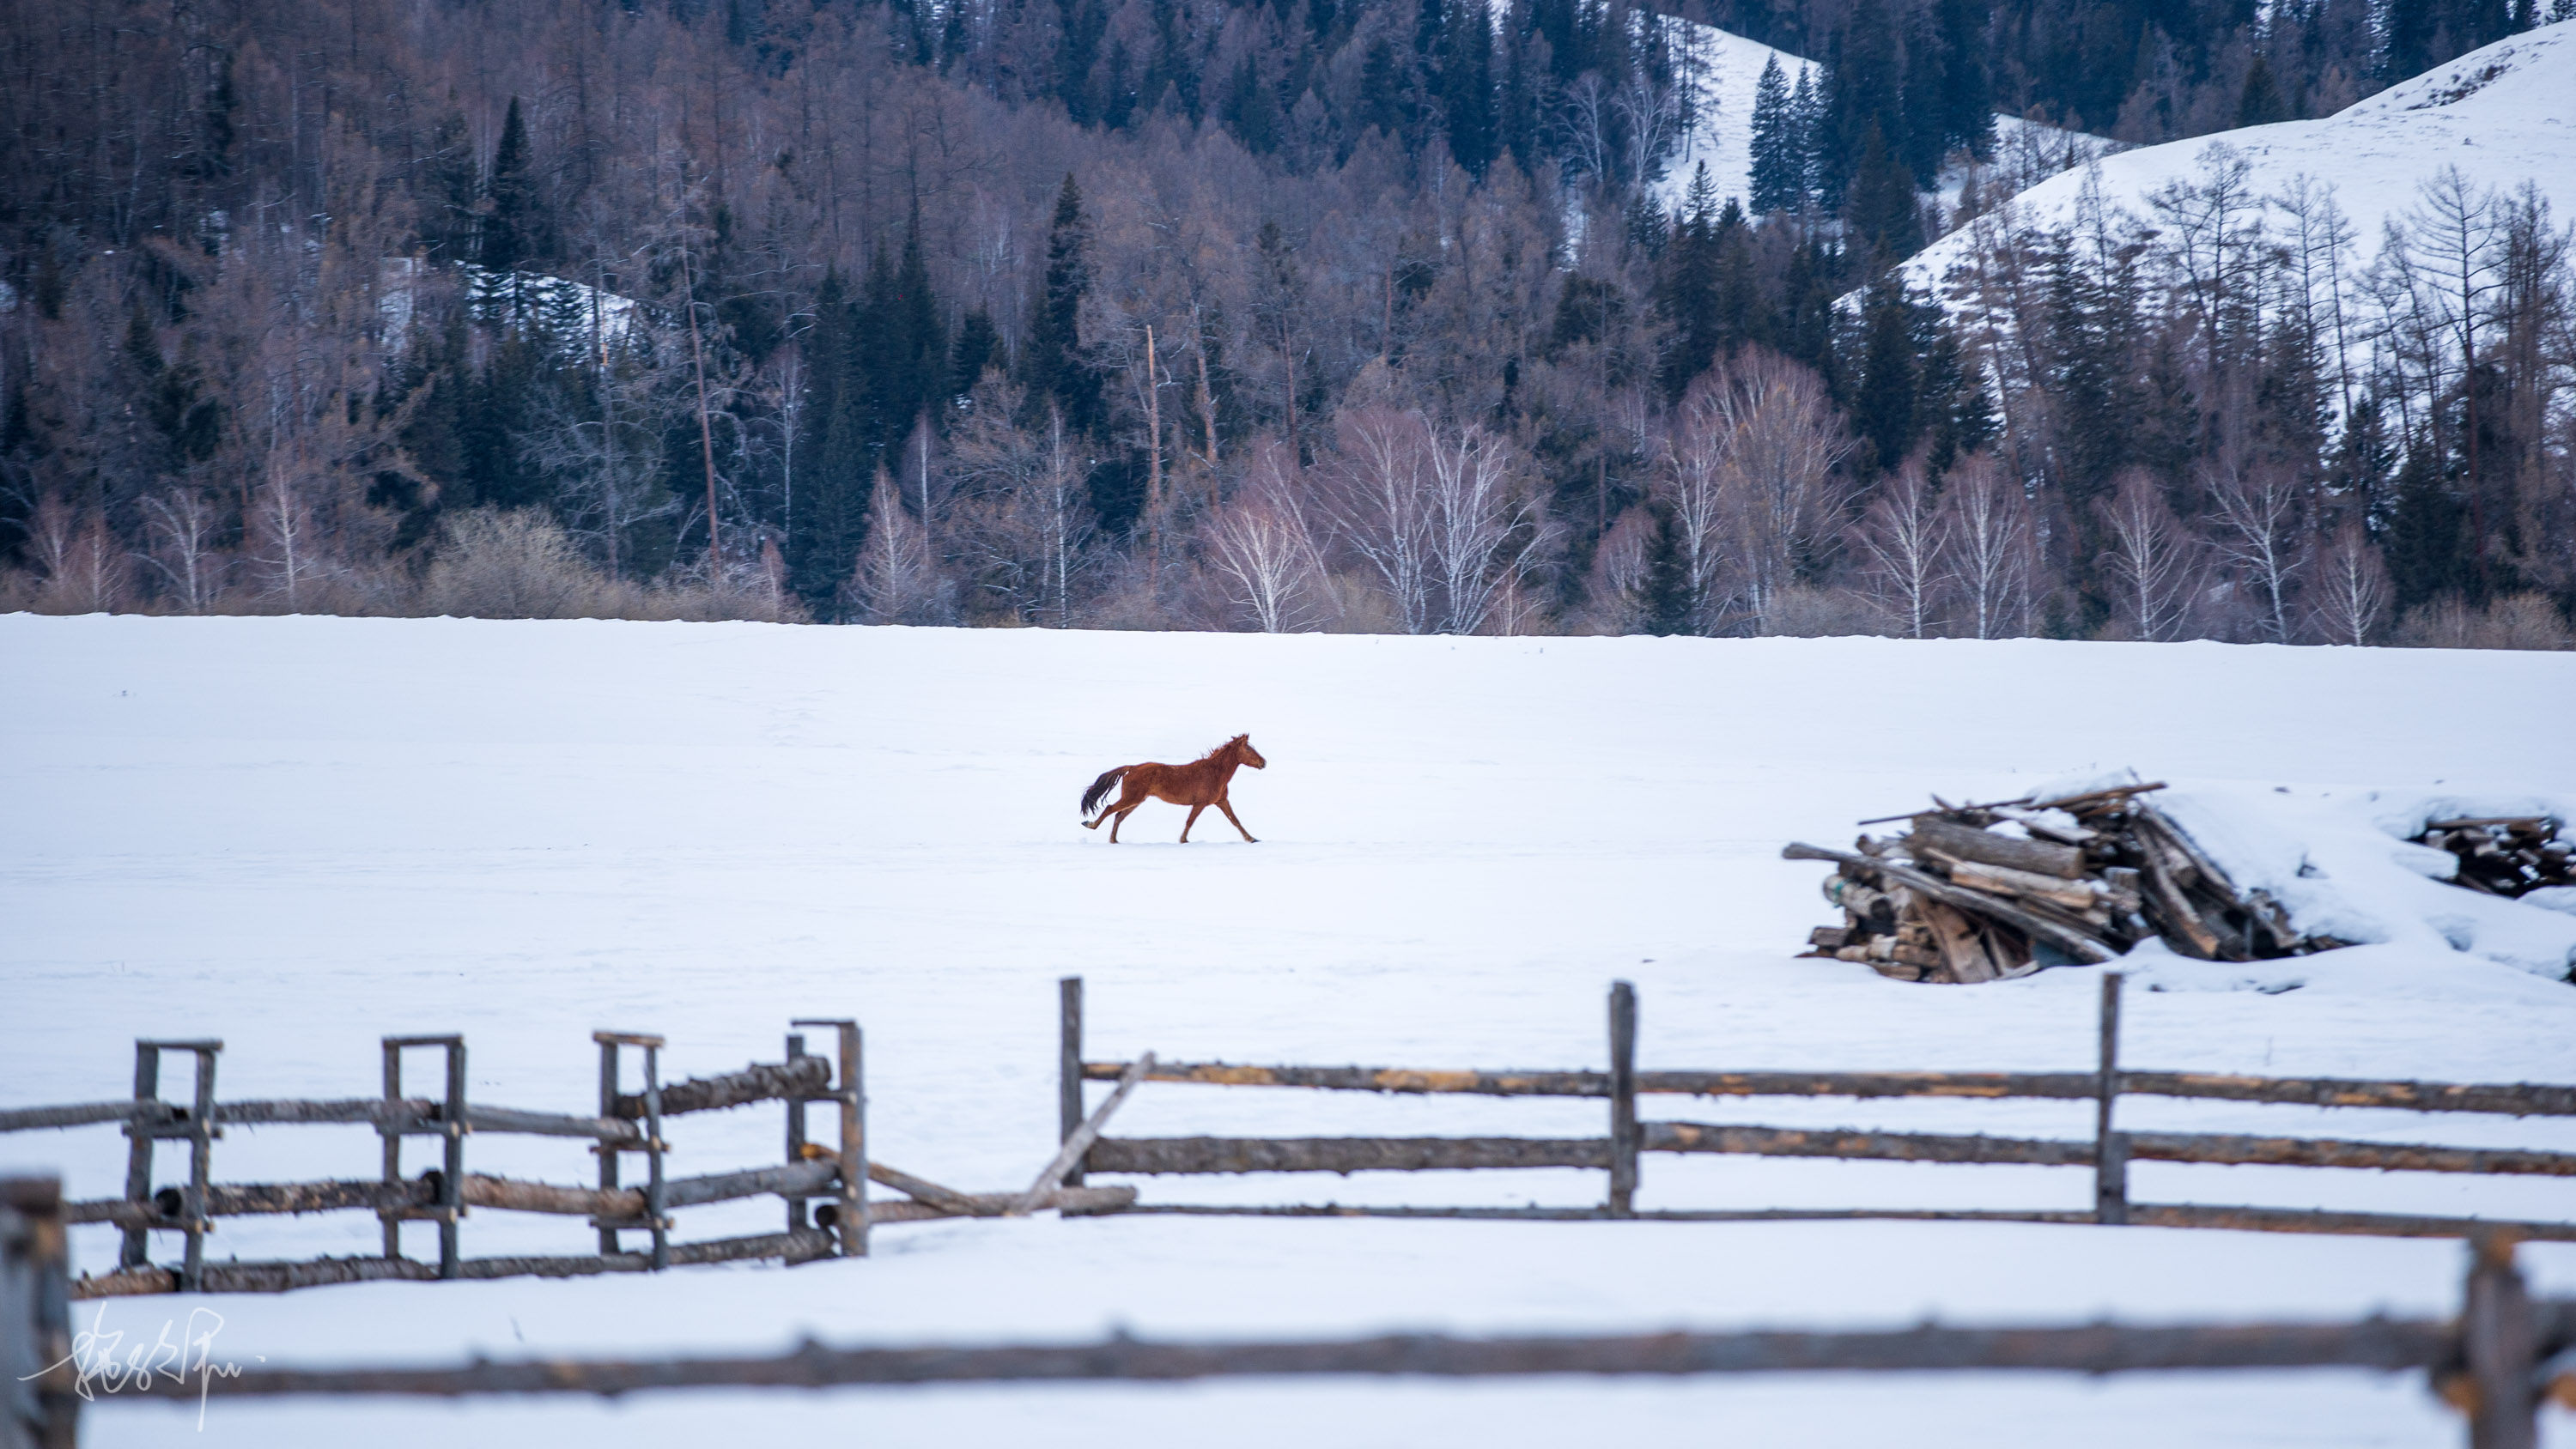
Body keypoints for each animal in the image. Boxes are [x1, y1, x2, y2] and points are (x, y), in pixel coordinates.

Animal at [1072, 731, 1262, 844]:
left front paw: (1252, 838)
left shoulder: (1222, 801)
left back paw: (1114, 840)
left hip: (1137, 800)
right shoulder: (1200, 803)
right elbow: (1190, 821)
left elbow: (1235, 820)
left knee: (1119, 816)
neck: (1215, 773)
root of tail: (1132, 768)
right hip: (1132, 798)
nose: (1264, 762)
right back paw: (1091, 825)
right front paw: (1183, 840)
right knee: (1111, 809)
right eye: (1248, 749)